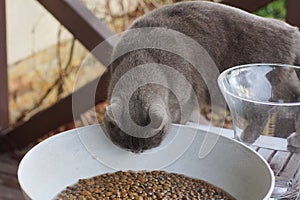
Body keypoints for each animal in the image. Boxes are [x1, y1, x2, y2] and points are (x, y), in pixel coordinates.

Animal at [102, 0, 300, 152]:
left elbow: (180, 118)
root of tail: (291, 31)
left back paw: (246, 137)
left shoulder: (186, 98)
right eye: (128, 146)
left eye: (145, 147)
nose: (136, 152)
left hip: (251, 87)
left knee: (262, 115)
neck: (142, 57)